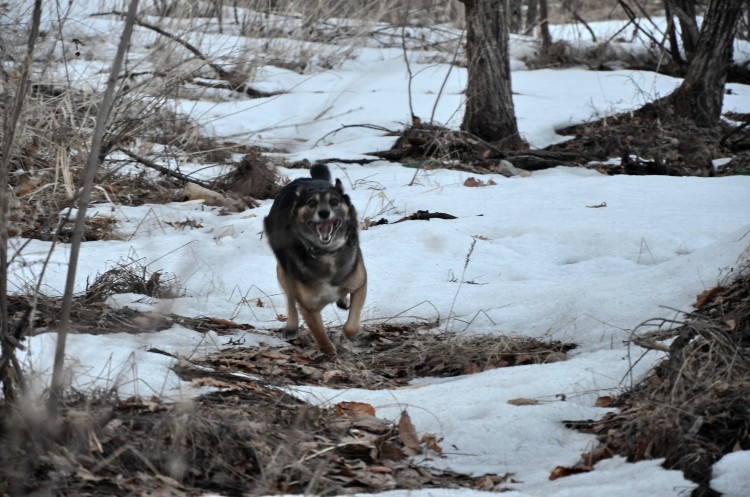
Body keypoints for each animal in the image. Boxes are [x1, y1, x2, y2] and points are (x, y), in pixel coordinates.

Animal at [266, 165, 368, 354]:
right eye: (311, 203)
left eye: (334, 201)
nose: (324, 213)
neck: (326, 254)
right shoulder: (309, 307)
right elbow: (319, 332)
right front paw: (329, 350)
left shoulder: (359, 284)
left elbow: (351, 326)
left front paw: (347, 335)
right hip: (282, 272)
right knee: (290, 298)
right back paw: (292, 326)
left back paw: (342, 300)